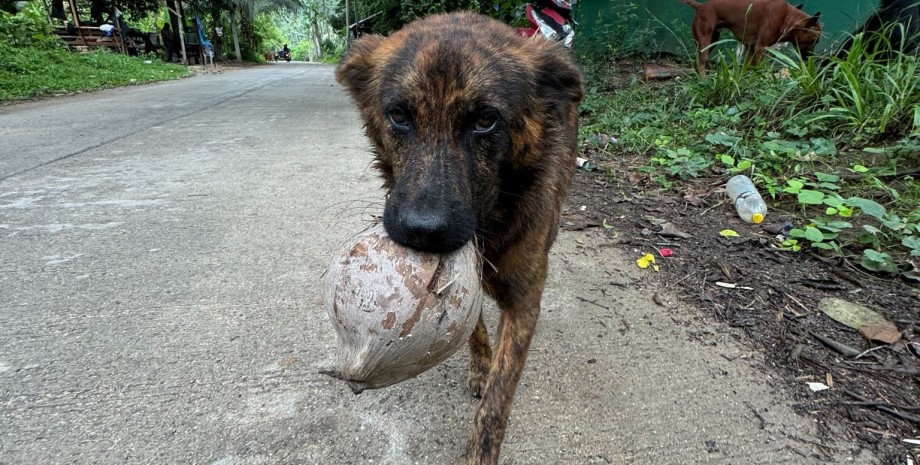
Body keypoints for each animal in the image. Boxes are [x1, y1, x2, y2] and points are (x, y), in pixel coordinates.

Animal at [336, 10, 584, 464]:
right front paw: (480, 366)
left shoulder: (524, 302)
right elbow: (474, 326)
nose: (422, 231)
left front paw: (480, 449)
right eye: (399, 115)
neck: (490, 223)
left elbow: (498, 401)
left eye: (486, 120)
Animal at [680, 0, 824, 73]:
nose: (811, 58)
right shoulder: (760, 48)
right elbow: (759, 69)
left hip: (712, 42)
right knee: (701, 64)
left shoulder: (751, 48)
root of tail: (701, 6)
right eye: (814, 40)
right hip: (705, 42)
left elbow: (746, 69)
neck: (786, 17)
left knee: (697, 63)